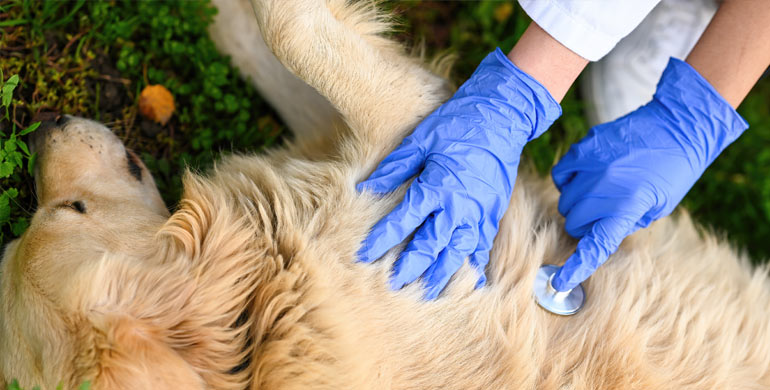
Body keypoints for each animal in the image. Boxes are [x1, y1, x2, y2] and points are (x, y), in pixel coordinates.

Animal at [1, 0, 768, 388]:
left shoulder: (392, 158)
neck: (265, 302)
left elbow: (283, 35)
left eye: (65, 209)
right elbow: (294, 35)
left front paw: (226, 18)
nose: (43, 128)